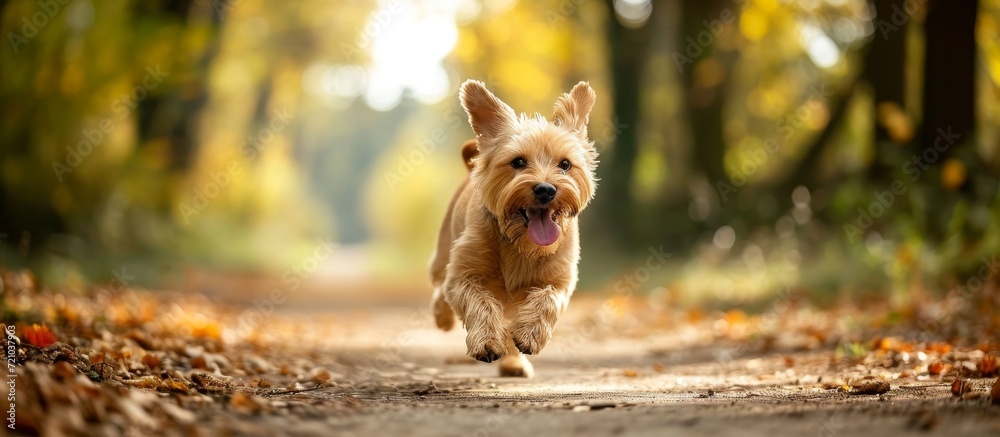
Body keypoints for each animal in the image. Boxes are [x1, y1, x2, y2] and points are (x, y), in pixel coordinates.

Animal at [428, 80, 596, 376]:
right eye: (518, 162)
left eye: (565, 164)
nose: (546, 189)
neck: (519, 244)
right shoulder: (463, 275)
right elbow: (479, 302)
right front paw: (485, 342)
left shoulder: (559, 279)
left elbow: (546, 300)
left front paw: (529, 335)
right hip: (441, 254)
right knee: (439, 289)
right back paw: (442, 316)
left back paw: (514, 362)